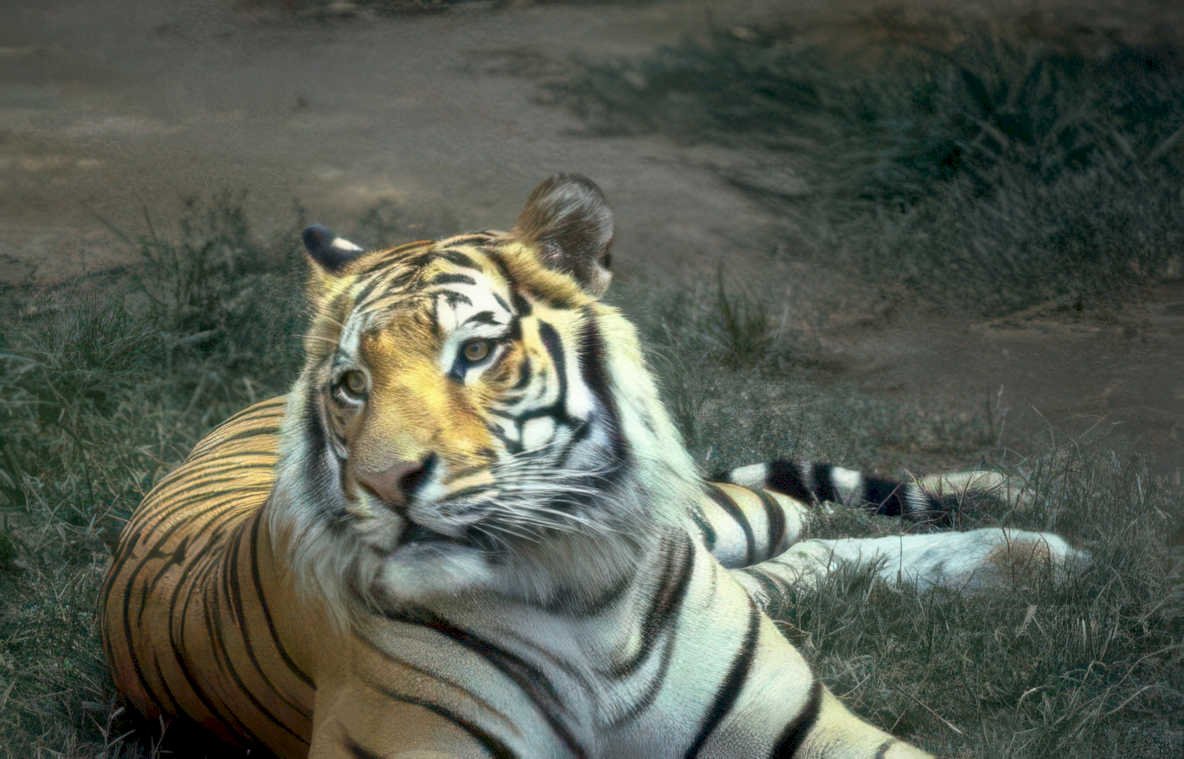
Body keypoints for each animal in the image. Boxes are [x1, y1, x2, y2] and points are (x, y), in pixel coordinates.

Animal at [100, 174, 1086, 758]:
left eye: (475, 352)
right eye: (351, 384)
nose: (384, 484)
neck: (582, 596)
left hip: (714, 516)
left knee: (799, 517)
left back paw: (1022, 516)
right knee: (802, 547)